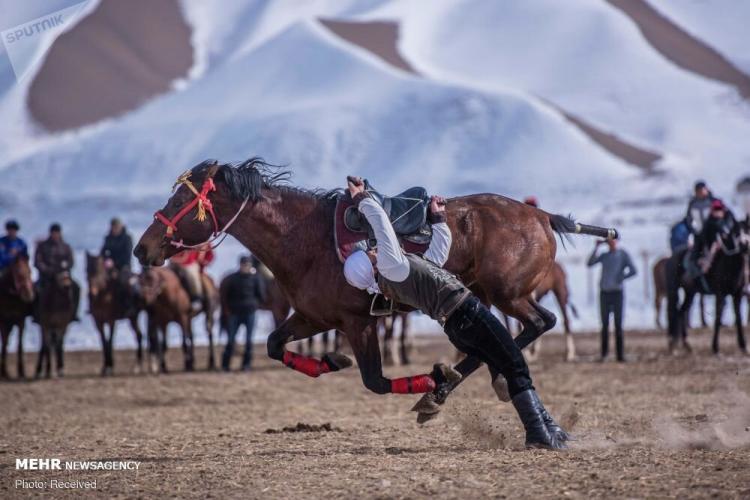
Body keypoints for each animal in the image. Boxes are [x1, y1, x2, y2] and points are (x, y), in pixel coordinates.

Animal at [135, 158, 616, 420]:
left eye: (181, 201)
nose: (142, 248)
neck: (303, 237)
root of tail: (541, 217)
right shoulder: (312, 317)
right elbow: (274, 345)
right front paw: (330, 360)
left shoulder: (359, 321)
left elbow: (377, 382)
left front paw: (430, 381)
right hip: (486, 295)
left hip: (506, 294)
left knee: (539, 322)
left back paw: (450, 384)